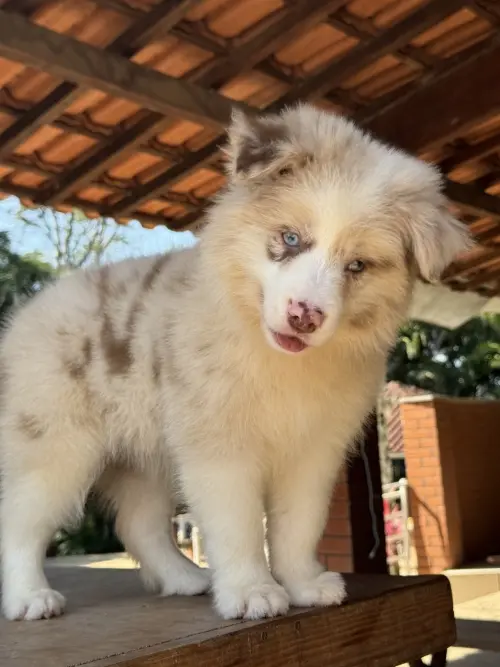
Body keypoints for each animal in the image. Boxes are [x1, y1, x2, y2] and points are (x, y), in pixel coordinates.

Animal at [0, 104, 470, 621]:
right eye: (290, 238)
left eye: (357, 266)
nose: (304, 317)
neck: (279, 362)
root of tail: (25, 316)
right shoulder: (221, 446)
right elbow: (238, 525)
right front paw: (252, 592)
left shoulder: (312, 452)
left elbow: (298, 525)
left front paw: (303, 584)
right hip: (55, 447)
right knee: (20, 521)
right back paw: (29, 597)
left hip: (147, 455)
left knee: (138, 523)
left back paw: (184, 578)